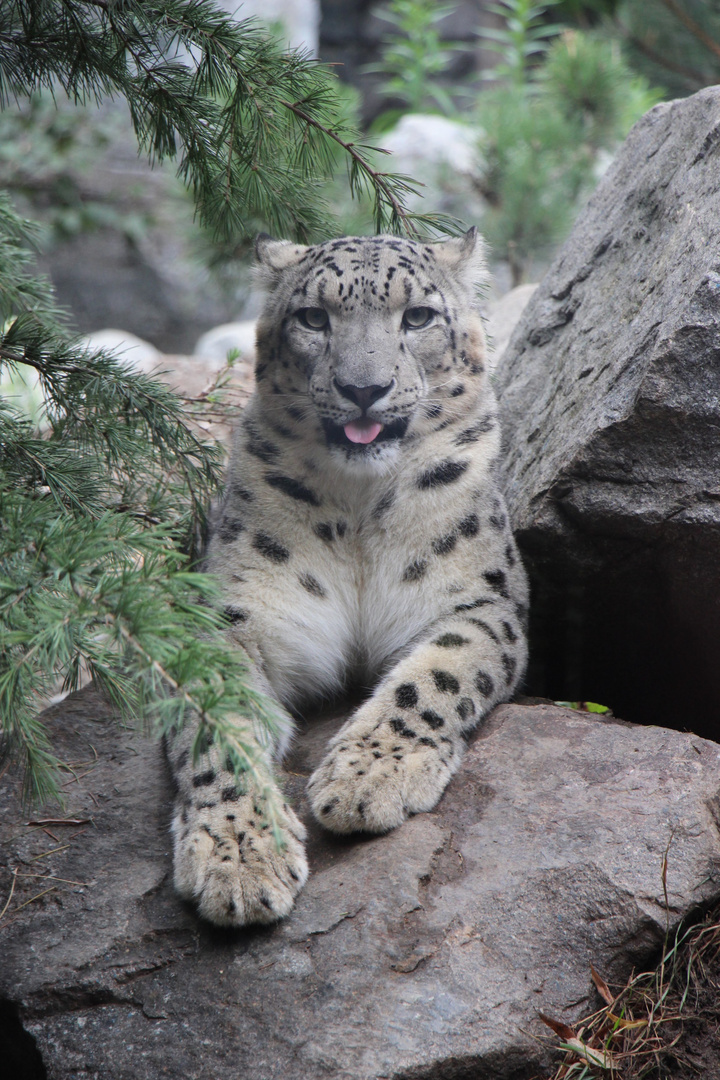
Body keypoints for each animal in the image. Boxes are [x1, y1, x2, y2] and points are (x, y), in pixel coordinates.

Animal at [167, 227, 528, 928]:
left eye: (417, 317)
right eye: (314, 318)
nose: (365, 388)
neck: (360, 510)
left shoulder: (479, 602)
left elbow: (437, 674)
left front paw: (365, 779)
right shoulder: (237, 615)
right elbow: (218, 727)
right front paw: (240, 856)